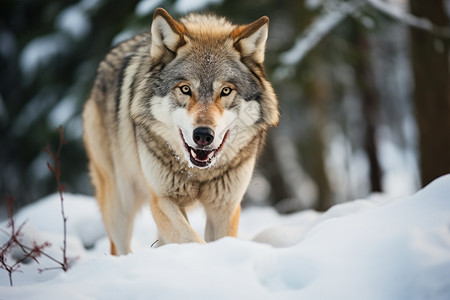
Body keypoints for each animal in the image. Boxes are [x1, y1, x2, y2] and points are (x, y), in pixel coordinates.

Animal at [82, 7, 276, 255]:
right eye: (185, 89)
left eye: (225, 91)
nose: (203, 135)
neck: (200, 174)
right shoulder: (162, 199)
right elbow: (192, 240)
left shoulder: (225, 207)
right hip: (119, 204)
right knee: (120, 247)